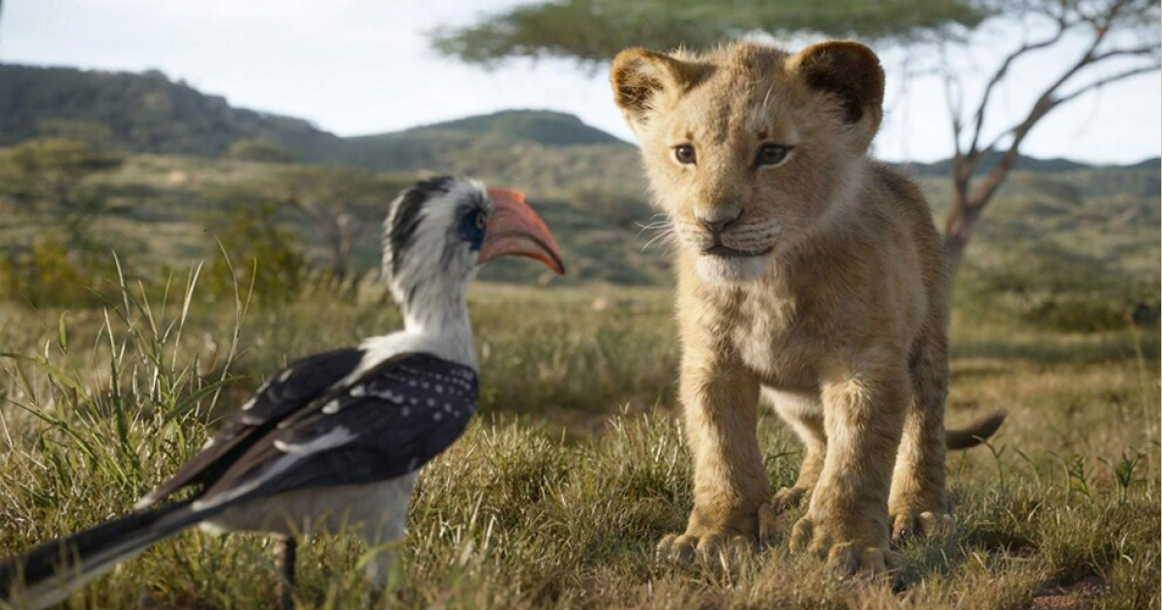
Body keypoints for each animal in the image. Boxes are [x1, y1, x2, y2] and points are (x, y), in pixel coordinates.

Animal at [609, 40, 1004, 573]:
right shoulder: (712, 362)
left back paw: (918, 511)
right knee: (819, 439)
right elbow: (721, 450)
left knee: (923, 428)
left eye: (772, 153)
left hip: (927, 345)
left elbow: (858, 456)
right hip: (792, 397)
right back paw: (794, 496)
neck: (769, 283)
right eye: (685, 153)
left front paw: (847, 544)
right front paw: (714, 535)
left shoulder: (865, 363)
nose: (714, 221)